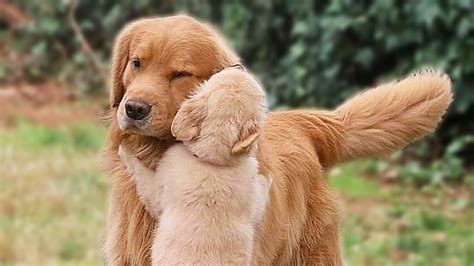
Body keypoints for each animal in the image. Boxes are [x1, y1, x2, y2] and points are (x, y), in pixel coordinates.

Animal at [116, 67, 270, 264]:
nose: (239, 67)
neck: (212, 162)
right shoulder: (252, 196)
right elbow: (260, 199)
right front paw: (267, 179)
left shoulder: (161, 185)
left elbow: (144, 180)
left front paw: (125, 151)